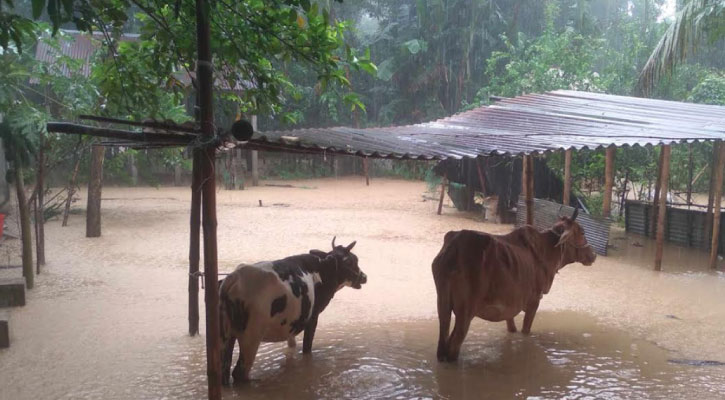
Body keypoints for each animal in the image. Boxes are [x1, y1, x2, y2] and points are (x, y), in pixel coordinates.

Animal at [218, 238, 364, 384]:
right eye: (350, 261)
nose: (364, 277)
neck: (320, 270)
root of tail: (234, 277)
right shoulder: (313, 317)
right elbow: (307, 348)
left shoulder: (292, 322)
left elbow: (292, 343)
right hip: (251, 337)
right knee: (239, 372)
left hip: (226, 338)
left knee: (224, 370)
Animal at [430, 209, 592, 362]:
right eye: (582, 232)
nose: (593, 254)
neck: (548, 250)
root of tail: (453, 249)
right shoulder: (534, 300)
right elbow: (526, 330)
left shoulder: (510, 304)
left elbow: (511, 326)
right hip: (466, 311)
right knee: (453, 345)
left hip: (443, 304)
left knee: (442, 341)